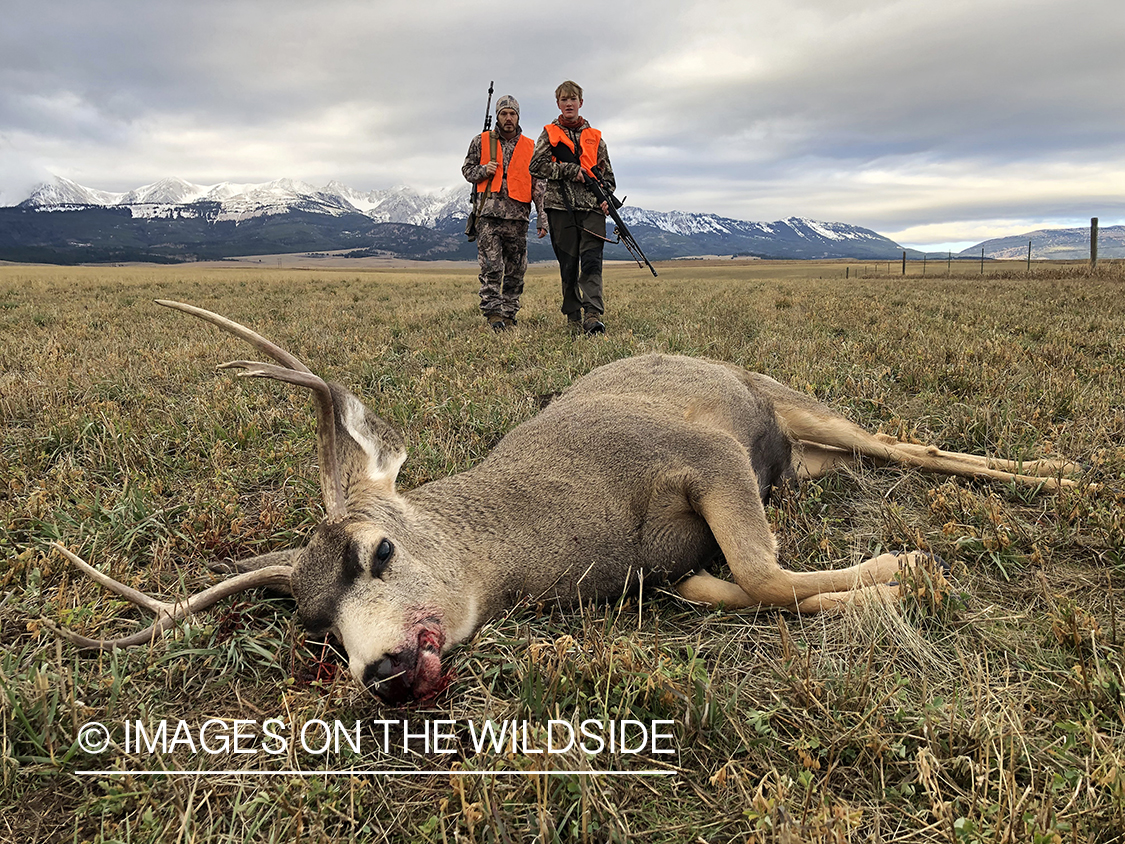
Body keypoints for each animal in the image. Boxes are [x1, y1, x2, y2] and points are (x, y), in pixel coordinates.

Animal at [46, 301, 1080, 702]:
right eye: (313, 624)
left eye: (378, 552)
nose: (381, 671)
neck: (575, 535)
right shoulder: (677, 555)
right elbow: (730, 584)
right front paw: (877, 586)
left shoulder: (702, 454)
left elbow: (761, 571)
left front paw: (904, 572)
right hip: (808, 458)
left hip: (788, 403)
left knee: (907, 444)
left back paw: (1059, 474)